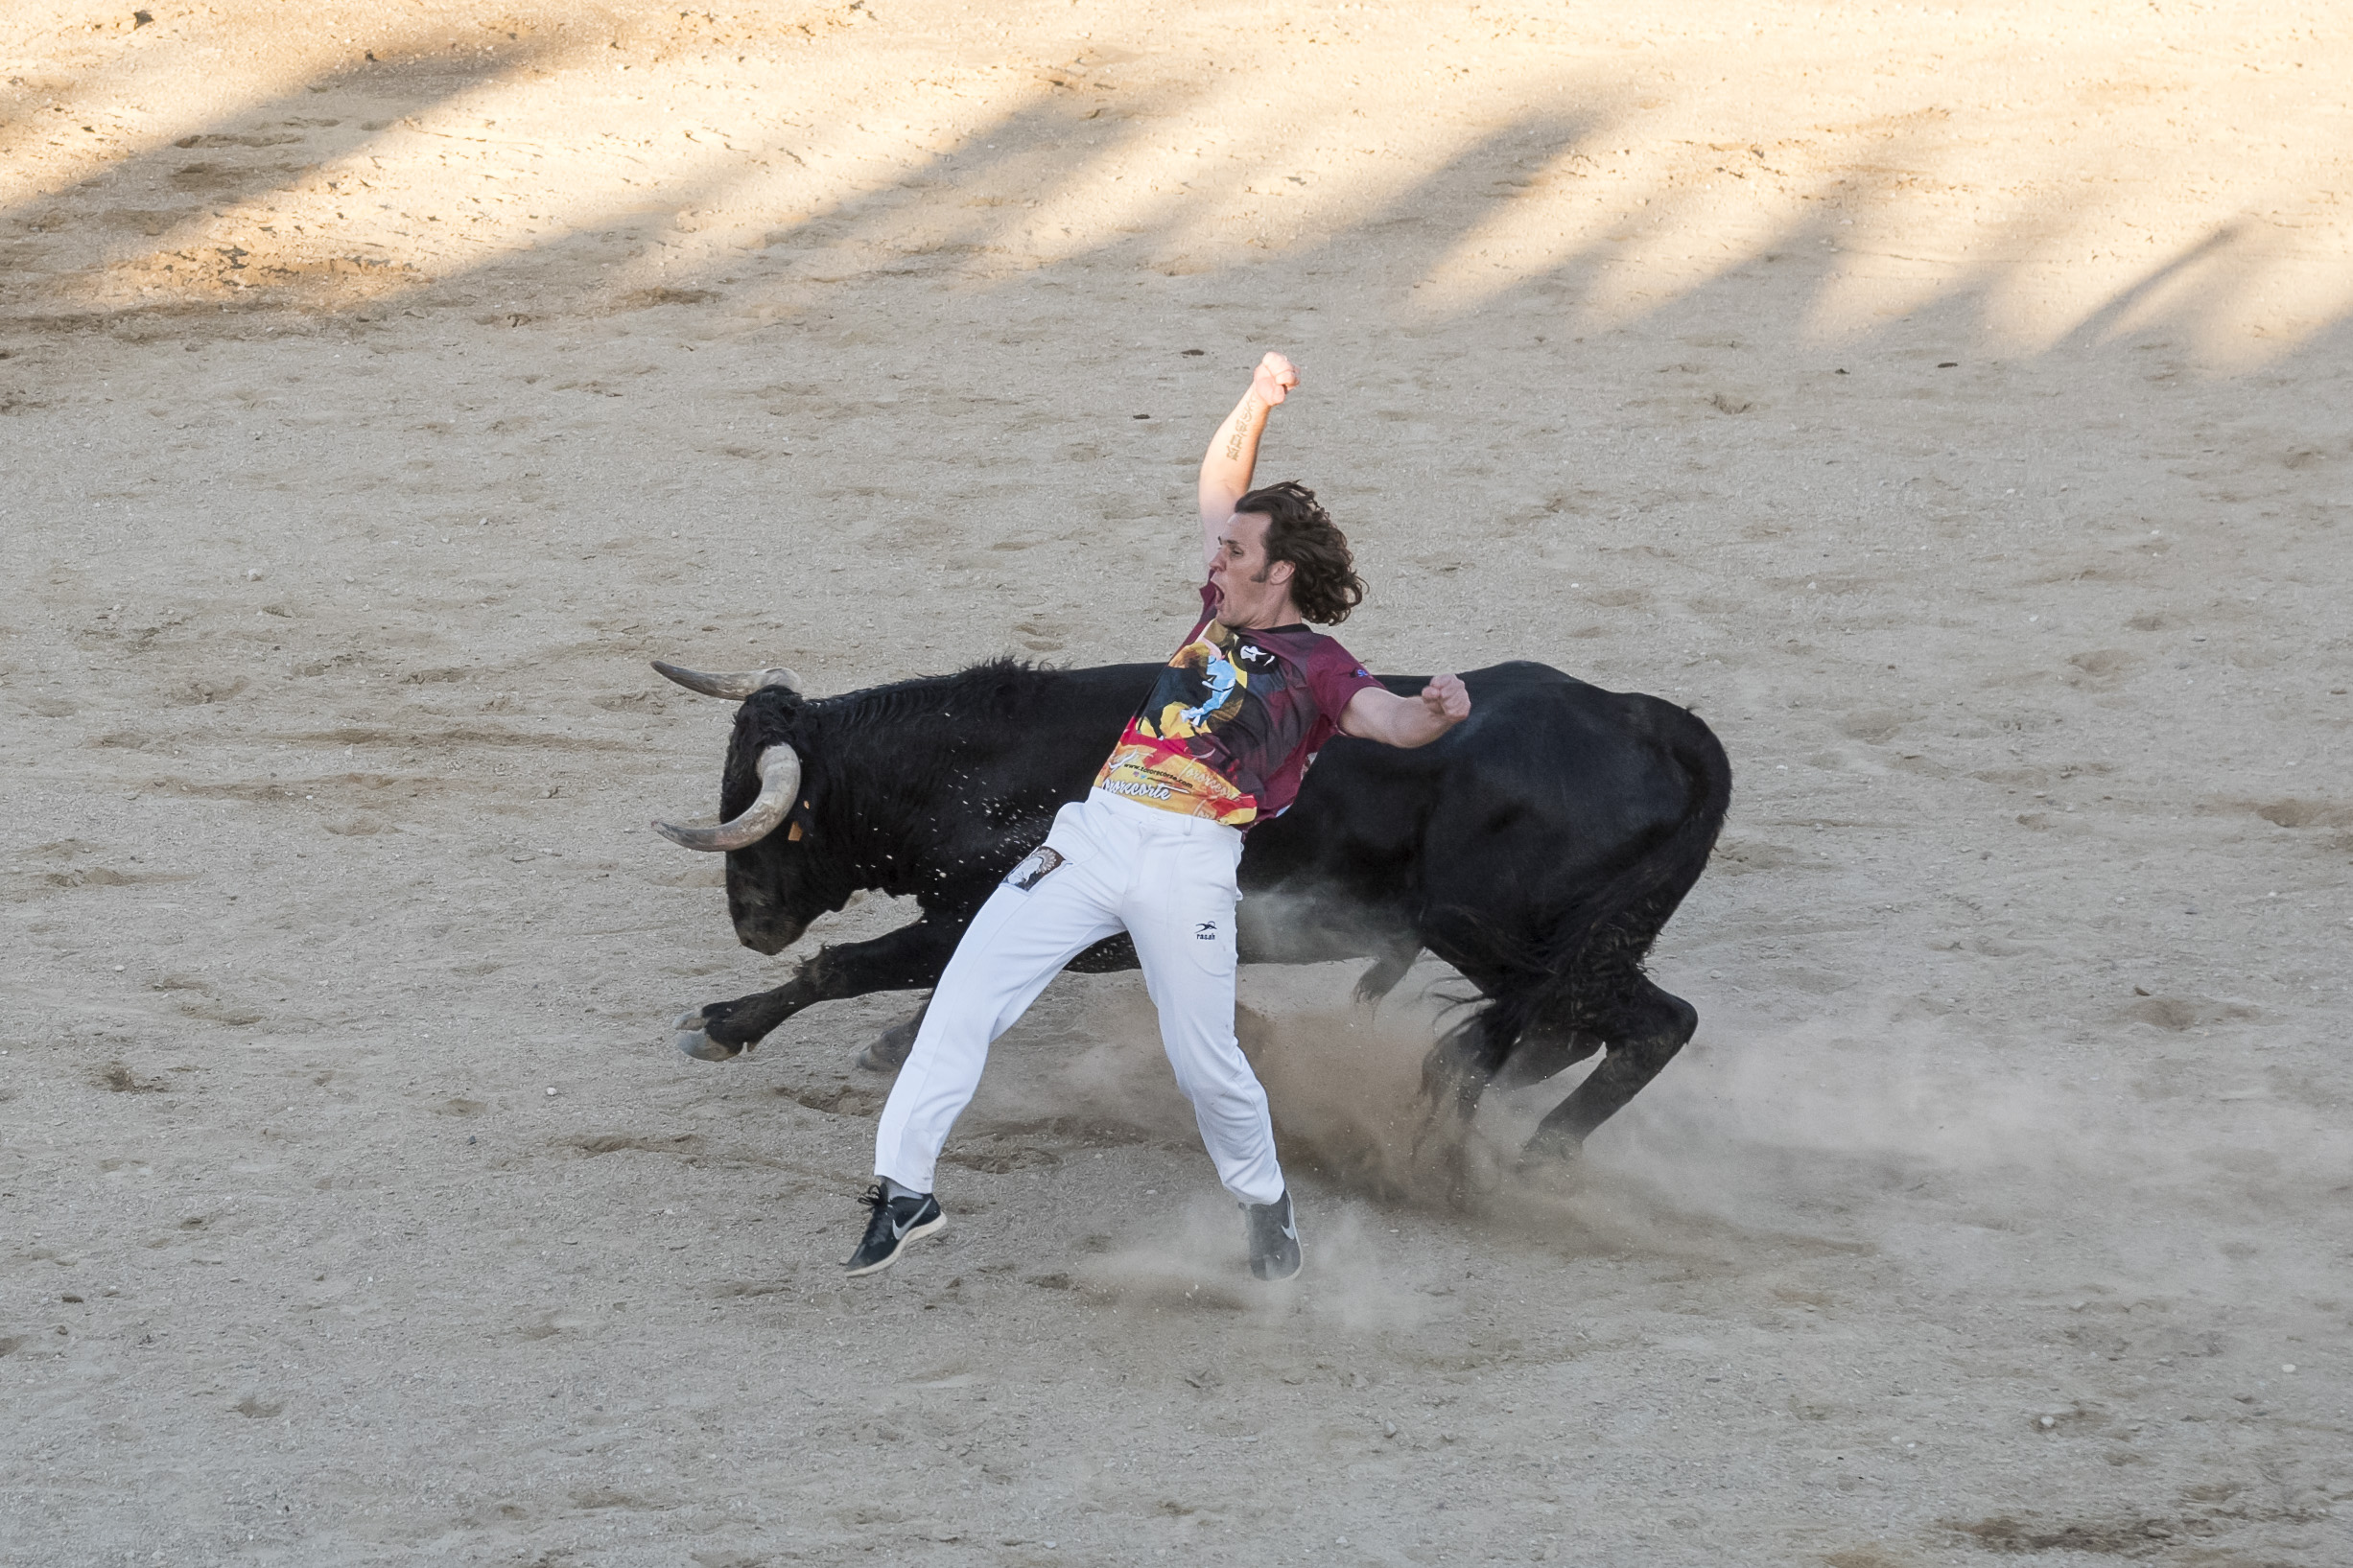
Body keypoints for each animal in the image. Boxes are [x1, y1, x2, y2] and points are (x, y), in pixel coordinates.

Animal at [663, 658, 1731, 1160]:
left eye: (770, 819)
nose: (750, 924)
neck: (973, 765)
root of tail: (1645, 719)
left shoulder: (979, 913)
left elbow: (850, 966)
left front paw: (719, 1025)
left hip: (1500, 932)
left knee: (1653, 1022)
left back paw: (1530, 1154)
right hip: (1550, 948)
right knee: (1578, 1030)